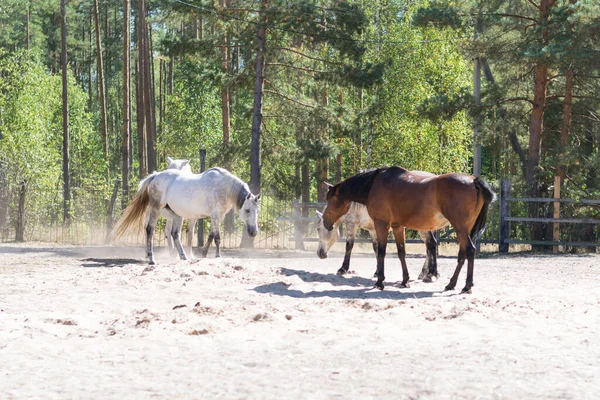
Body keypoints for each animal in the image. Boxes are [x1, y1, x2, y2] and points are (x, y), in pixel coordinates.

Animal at [116, 167, 258, 264]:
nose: (254, 232)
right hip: (155, 210)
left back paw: (182, 256)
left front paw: (203, 254)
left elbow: (211, 236)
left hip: (177, 216)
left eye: (257, 211)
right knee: (150, 230)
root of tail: (156, 176)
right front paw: (218, 256)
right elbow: (217, 237)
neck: (223, 187)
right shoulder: (215, 216)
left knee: (174, 234)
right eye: (247, 210)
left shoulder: (217, 217)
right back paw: (151, 258)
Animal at [324, 166, 496, 294]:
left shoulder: (381, 225)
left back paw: (466, 286)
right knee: (462, 255)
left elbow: (381, 252)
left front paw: (379, 281)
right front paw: (405, 280)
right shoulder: (398, 226)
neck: (374, 184)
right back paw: (451, 284)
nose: (326, 222)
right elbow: (401, 252)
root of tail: (474, 181)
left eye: (330, 200)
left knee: (469, 251)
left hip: (460, 228)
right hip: (465, 229)